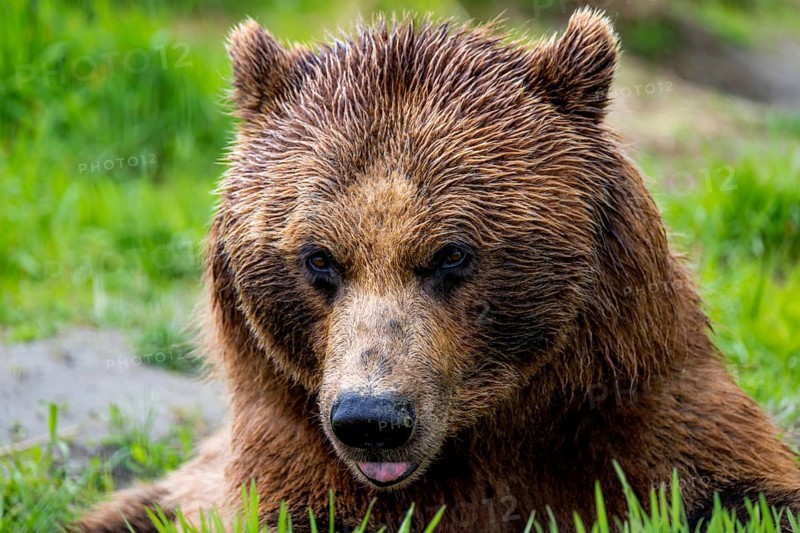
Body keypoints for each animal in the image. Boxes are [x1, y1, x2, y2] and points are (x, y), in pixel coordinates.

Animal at [76, 8, 800, 532]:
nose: (373, 418)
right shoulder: (286, 456)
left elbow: (743, 488)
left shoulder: (642, 408)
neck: (481, 434)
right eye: (319, 257)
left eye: (452, 253)